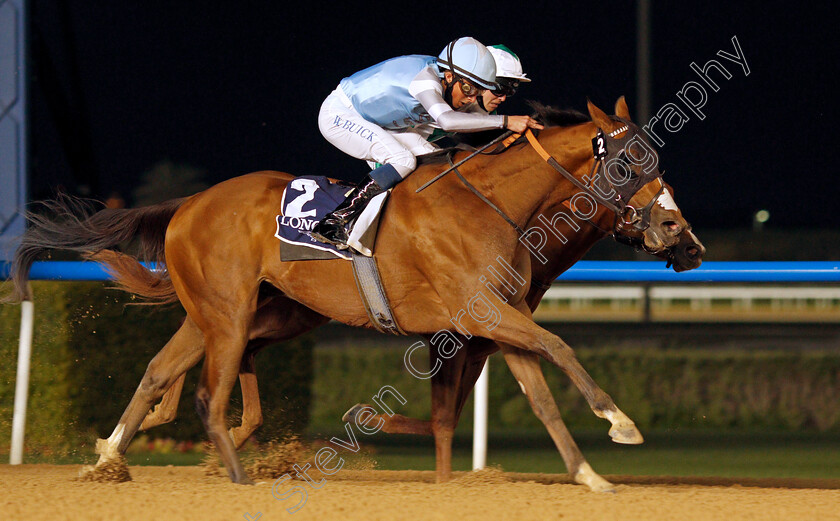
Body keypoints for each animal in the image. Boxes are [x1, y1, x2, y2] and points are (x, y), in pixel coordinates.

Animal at [8, 98, 704, 492]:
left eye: (659, 160)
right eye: (628, 164)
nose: (681, 234)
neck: (495, 205)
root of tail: (188, 204)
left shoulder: (496, 321)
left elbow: (538, 397)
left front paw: (589, 474)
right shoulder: (483, 317)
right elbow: (559, 346)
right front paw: (620, 423)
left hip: (234, 313)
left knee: (159, 369)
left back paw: (108, 459)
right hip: (229, 314)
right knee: (209, 392)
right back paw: (234, 475)